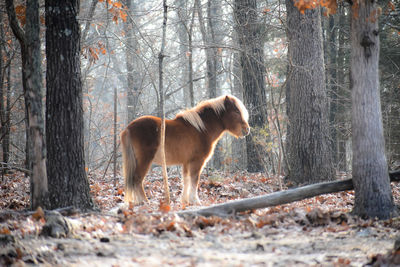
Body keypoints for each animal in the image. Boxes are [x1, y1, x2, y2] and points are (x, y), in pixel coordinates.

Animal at [120, 95, 250, 206]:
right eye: (236, 111)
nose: (247, 129)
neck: (201, 130)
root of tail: (128, 128)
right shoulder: (197, 162)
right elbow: (194, 180)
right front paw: (195, 201)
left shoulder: (187, 162)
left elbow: (186, 179)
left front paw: (185, 200)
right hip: (145, 160)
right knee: (137, 179)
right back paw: (144, 202)